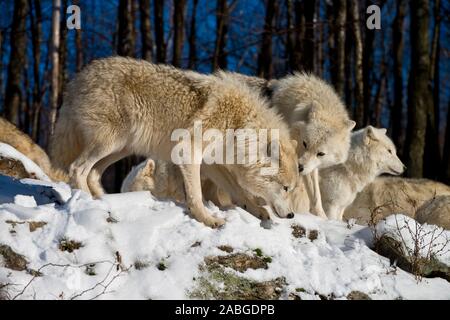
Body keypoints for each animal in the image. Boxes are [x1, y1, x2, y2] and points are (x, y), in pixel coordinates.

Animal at [51, 57, 300, 228]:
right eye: (286, 188)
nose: (291, 215)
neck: (238, 125)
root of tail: (79, 77)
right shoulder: (189, 151)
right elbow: (196, 193)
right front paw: (207, 219)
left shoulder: (212, 162)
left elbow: (238, 191)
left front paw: (257, 210)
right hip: (108, 143)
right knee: (77, 168)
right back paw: (87, 201)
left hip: (120, 148)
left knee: (93, 173)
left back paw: (103, 201)